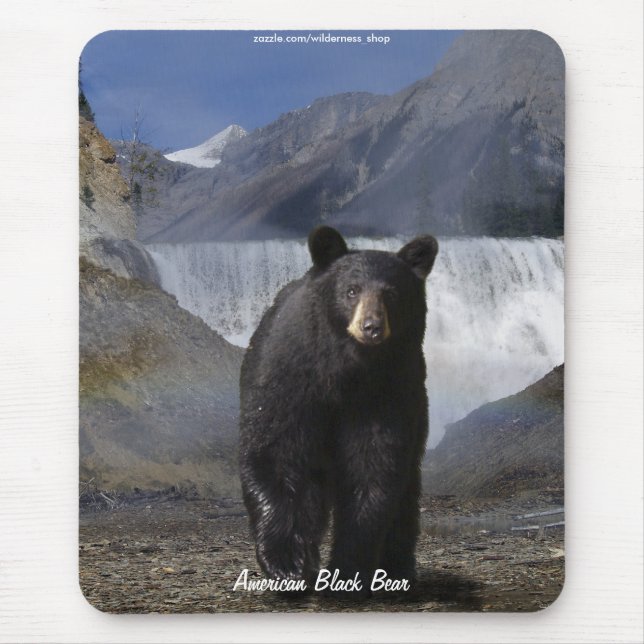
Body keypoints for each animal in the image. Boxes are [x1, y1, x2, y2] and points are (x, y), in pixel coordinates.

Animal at [239, 226, 438, 596]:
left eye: (391, 293)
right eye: (351, 290)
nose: (372, 326)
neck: (347, 370)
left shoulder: (388, 392)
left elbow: (374, 466)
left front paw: (348, 567)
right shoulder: (291, 376)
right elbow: (274, 450)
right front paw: (287, 564)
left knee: (406, 495)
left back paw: (397, 568)